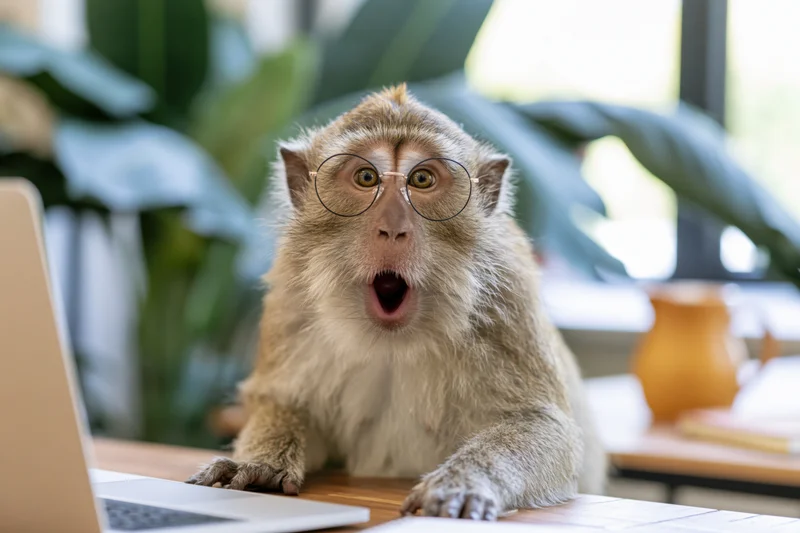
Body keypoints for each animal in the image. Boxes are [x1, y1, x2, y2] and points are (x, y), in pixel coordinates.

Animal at [186, 83, 608, 520]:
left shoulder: (509, 300)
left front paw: (464, 481)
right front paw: (259, 462)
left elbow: (546, 427)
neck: (391, 339)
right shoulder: (291, 297)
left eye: (421, 179)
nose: (392, 227)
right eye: (366, 177)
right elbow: (286, 403)